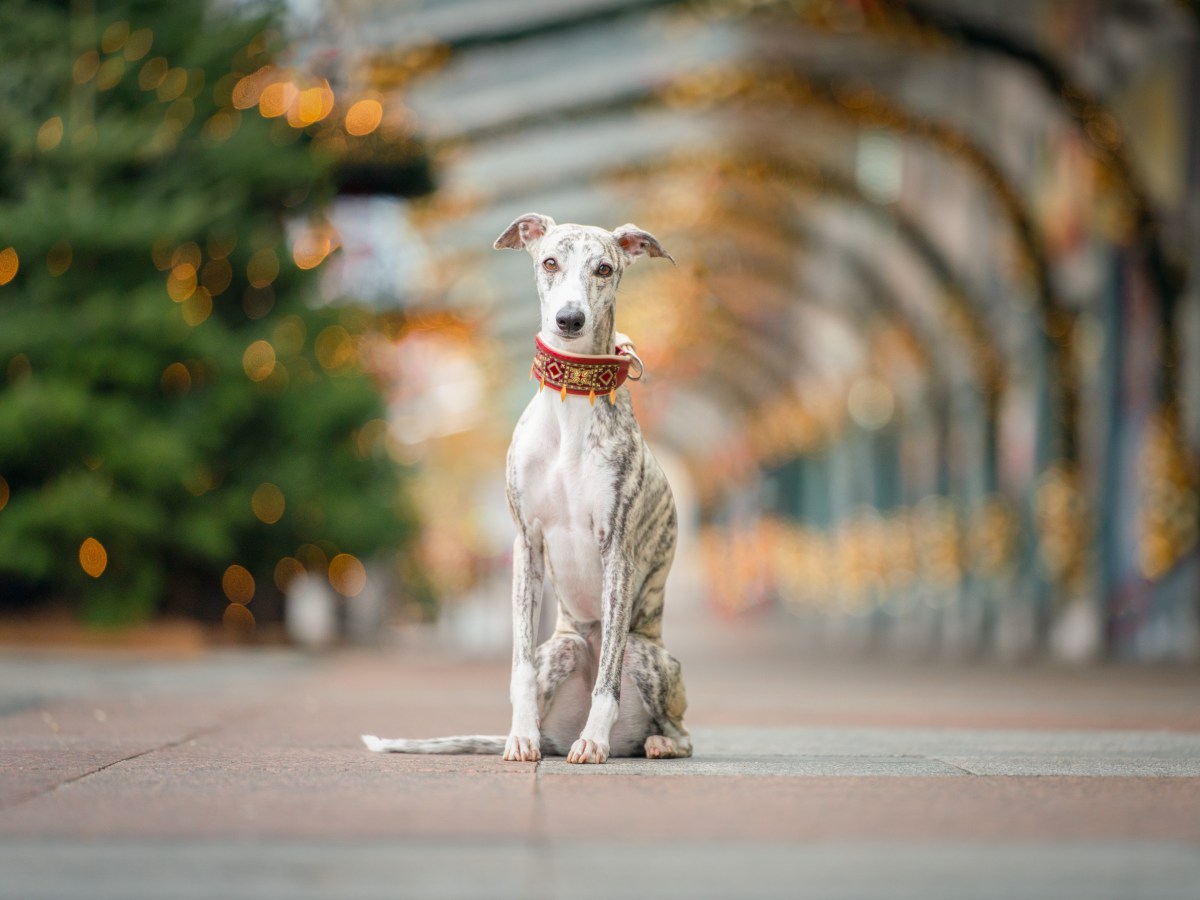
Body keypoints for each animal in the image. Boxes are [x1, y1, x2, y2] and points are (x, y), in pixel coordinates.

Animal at [360, 214, 691, 763]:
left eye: (604, 268)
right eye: (550, 261)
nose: (569, 319)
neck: (571, 402)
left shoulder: (617, 549)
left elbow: (606, 683)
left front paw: (593, 742)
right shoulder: (527, 544)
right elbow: (518, 667)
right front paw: (519, 737)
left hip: (645, 654)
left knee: (675, 725)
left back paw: (647, 741)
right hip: (562, 647)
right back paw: (538, 734)